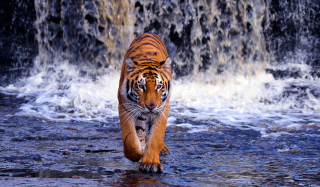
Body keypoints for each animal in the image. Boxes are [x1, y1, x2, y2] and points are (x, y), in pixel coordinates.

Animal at [118, 33, 172, 172]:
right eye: (141, 86)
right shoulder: (125, 107)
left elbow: (156, 136)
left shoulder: (163, 109)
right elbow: (129, 137)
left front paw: (151, 163)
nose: (151, 106)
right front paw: (136, 154)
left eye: (159, 86)